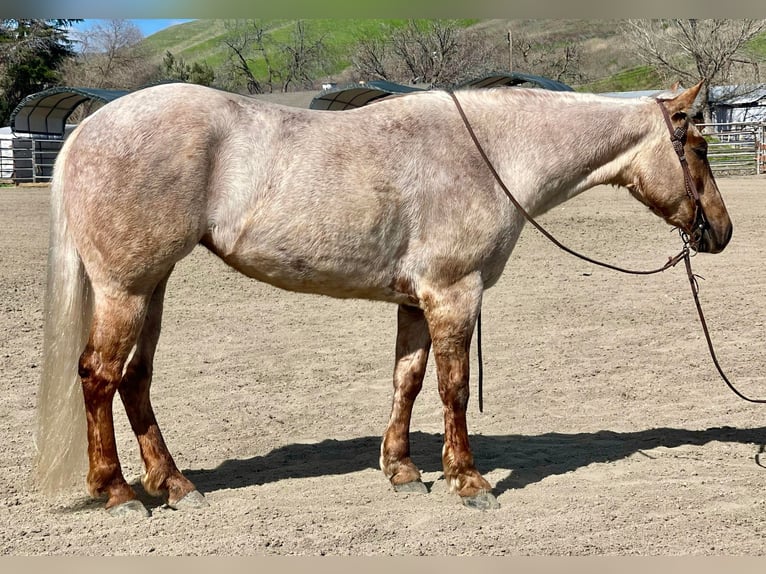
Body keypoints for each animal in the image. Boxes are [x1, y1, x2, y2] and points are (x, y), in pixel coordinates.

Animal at [34, 79, 732, 516]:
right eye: (698, 147)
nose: (721, 232)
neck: (490, 153)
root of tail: (88, 128)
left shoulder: (415, 301)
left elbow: (409, 380)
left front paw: (401, 471)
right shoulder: (454, 294)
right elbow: (453, 389)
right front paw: (467, 481)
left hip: (152, 287)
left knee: (135, 380)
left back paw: (174, 484)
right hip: (126, 289)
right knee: (99, 376)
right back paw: (118, 492)